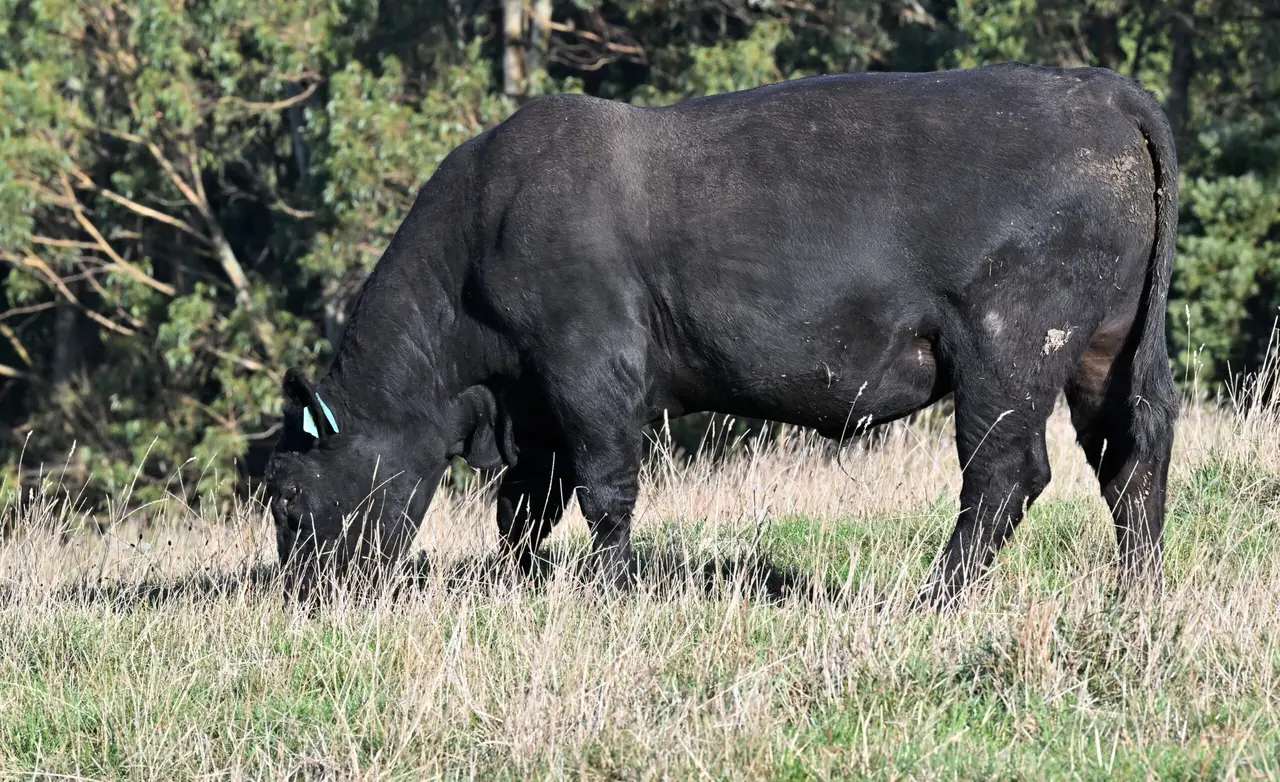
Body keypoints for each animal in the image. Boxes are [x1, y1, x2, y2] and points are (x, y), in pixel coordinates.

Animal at [264, 62, 1178, 607]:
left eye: (285, 496)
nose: (301, 597)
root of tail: (1100, 91)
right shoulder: (535, 406)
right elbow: (523, 510)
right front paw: (525, 588)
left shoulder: (588, 369)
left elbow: (603, 491)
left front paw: (612, 593)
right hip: (1106, 348)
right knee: (1132, 457)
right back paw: (1135, 594)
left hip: (1009, 348)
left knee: (1005, 475)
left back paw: (935, 598)